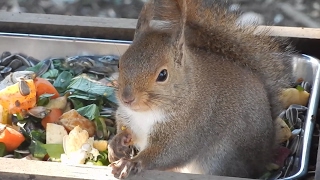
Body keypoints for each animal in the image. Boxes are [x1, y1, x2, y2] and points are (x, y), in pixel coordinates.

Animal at [107, 0, 296, 178]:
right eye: (119, 64)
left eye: (163, 75)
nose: (127, 98)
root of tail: (265, 154)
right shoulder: (128, 117)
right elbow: (128, 130)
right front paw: (117, 143)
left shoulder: (188, 129)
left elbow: (169, 153)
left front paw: (131, 163)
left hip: (219, 159)